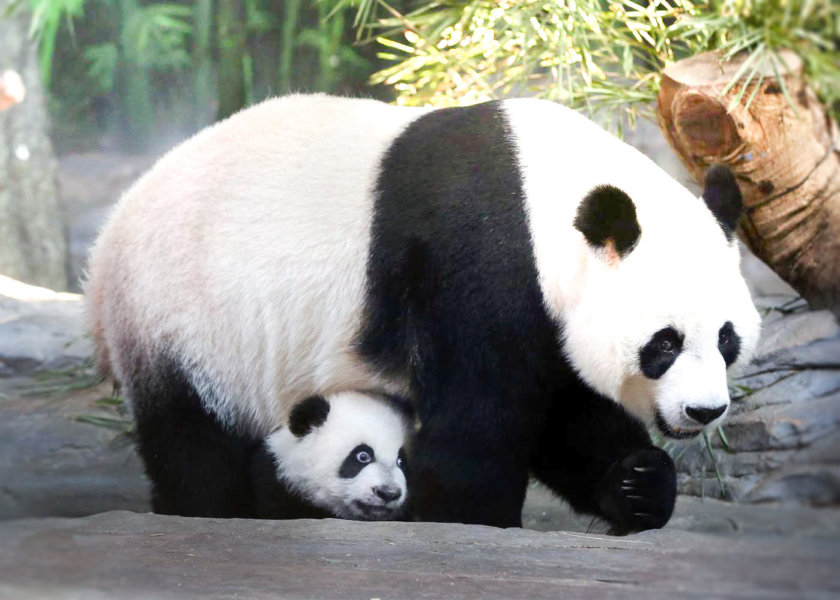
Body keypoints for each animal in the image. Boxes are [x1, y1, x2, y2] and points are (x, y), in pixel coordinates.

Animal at [87, 94, 760, 536]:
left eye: (727, 340)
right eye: (664, 344)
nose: (704, 412)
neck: (545, 198)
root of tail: (107, 239)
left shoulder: (547, 314)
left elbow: (566, 414)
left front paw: (639, 484)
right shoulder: (477, 266)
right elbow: (478, 424)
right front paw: (471, 522)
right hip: (185, 316)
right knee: (194, 439)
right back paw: (212, 511)